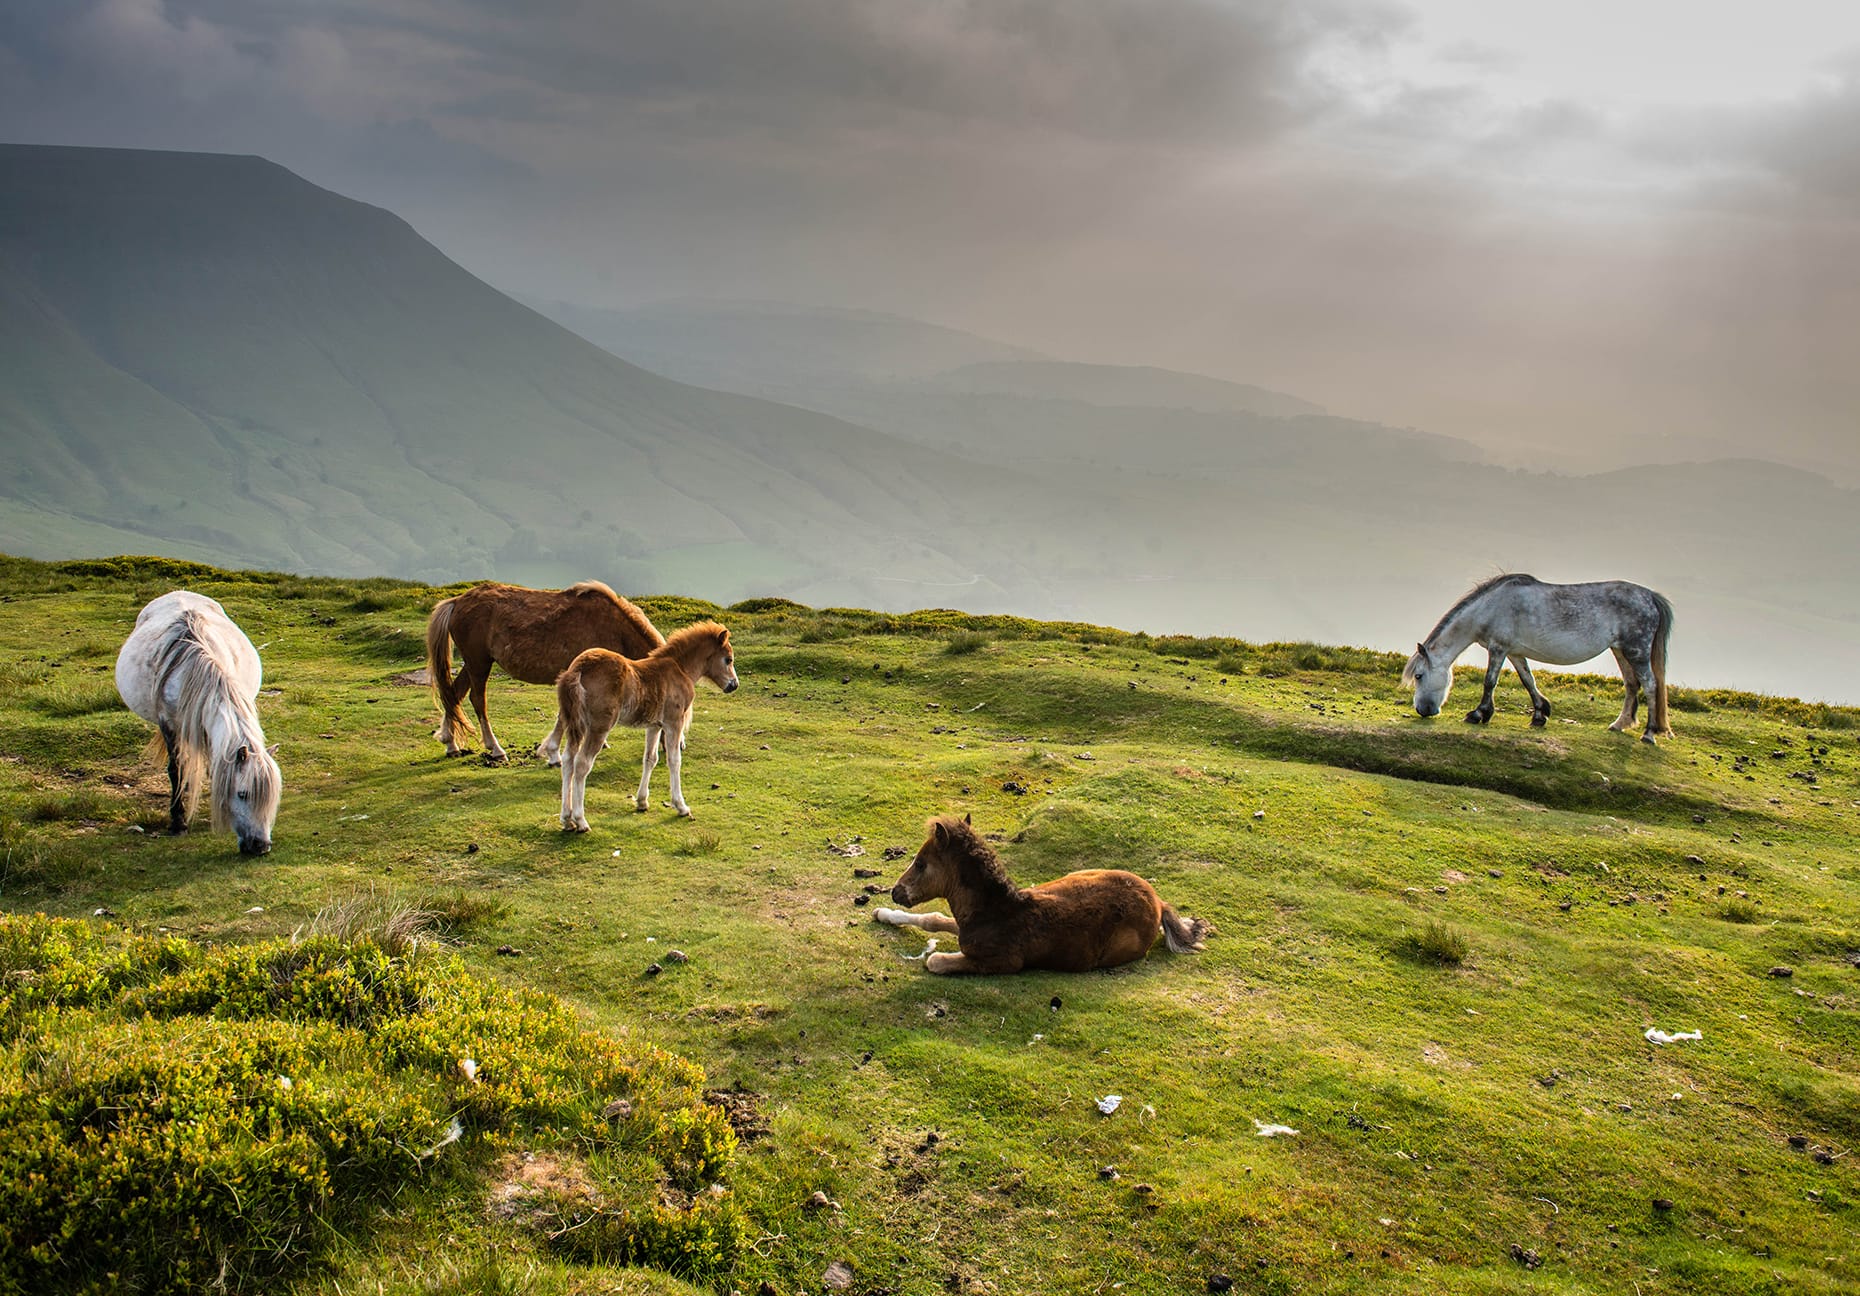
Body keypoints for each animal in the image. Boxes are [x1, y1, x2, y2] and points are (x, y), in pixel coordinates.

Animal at [877, 810, 1212, 966]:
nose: (896, 891)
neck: (998, 912)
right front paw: (883, 914)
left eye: (921, 864)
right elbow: (934, 918)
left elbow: (935, 961)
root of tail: (1157, 902)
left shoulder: (1002, 963)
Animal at [1398, 572, 1681, 743]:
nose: (1423, 711)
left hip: (1636, 651)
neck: (1490, 607)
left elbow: (1490, 682)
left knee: (1650, 685)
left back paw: (1649, 734)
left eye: (1419, 675)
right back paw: (1620, 724)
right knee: (1632, 685)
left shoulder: (1498, 649)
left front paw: (1478, 715)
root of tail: (1650, 597)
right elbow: (1528, 681)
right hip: (1621, 650)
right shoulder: (1515, 652)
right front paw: (1540, 714)